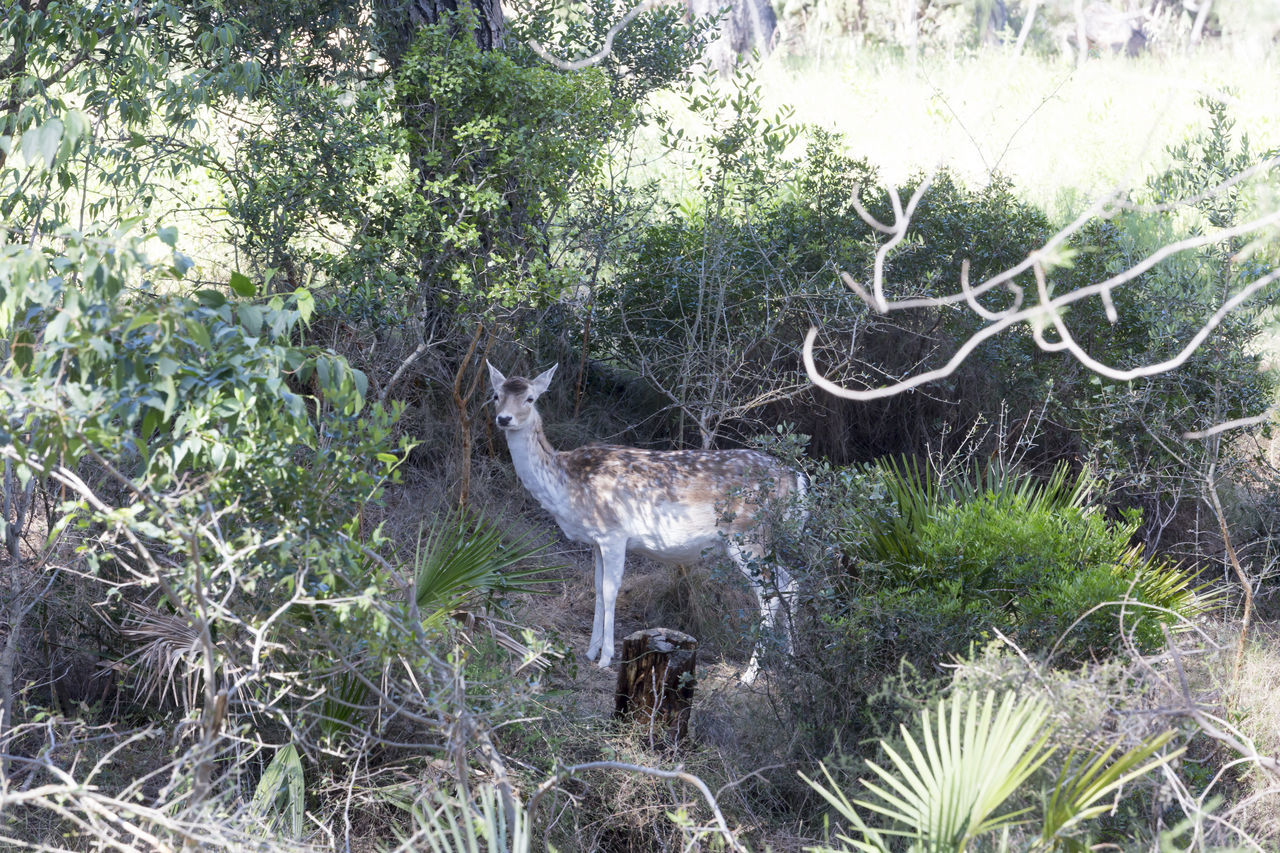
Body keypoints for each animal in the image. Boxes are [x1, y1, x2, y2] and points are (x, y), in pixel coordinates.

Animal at [483, 361, 803, 681]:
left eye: (530, 398)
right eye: (496, 395)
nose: (504, 418)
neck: (566, 487)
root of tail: (795, 478)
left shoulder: (613, 533)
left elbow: (611, 590)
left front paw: (606, 658)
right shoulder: (595, 540)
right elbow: (597, 588)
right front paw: (590, 651)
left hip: (747, 534)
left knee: (769, 593)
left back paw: (750, 674)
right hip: (763, 539)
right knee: (790, 581)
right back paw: (790, 663)